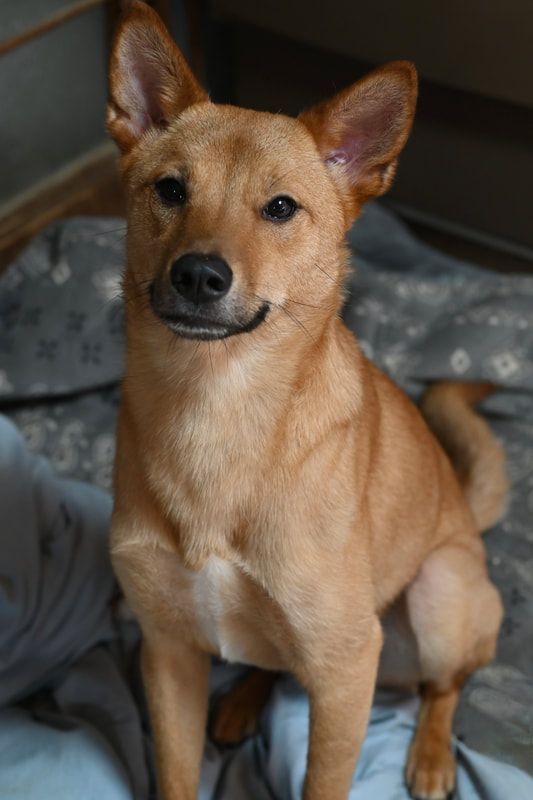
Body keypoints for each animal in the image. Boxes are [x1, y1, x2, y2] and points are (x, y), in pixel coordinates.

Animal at [107, 3, 508, 796]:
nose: (199, 275)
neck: (214, 406)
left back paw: (431, 754)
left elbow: (326, 778)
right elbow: (175, 770)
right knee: (279, 665)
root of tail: (467, 522)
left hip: (439, 594)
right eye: (170, 190)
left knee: (443, 686)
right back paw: (244, 702)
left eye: (281, 208)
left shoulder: (346, 668)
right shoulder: (167, 651)